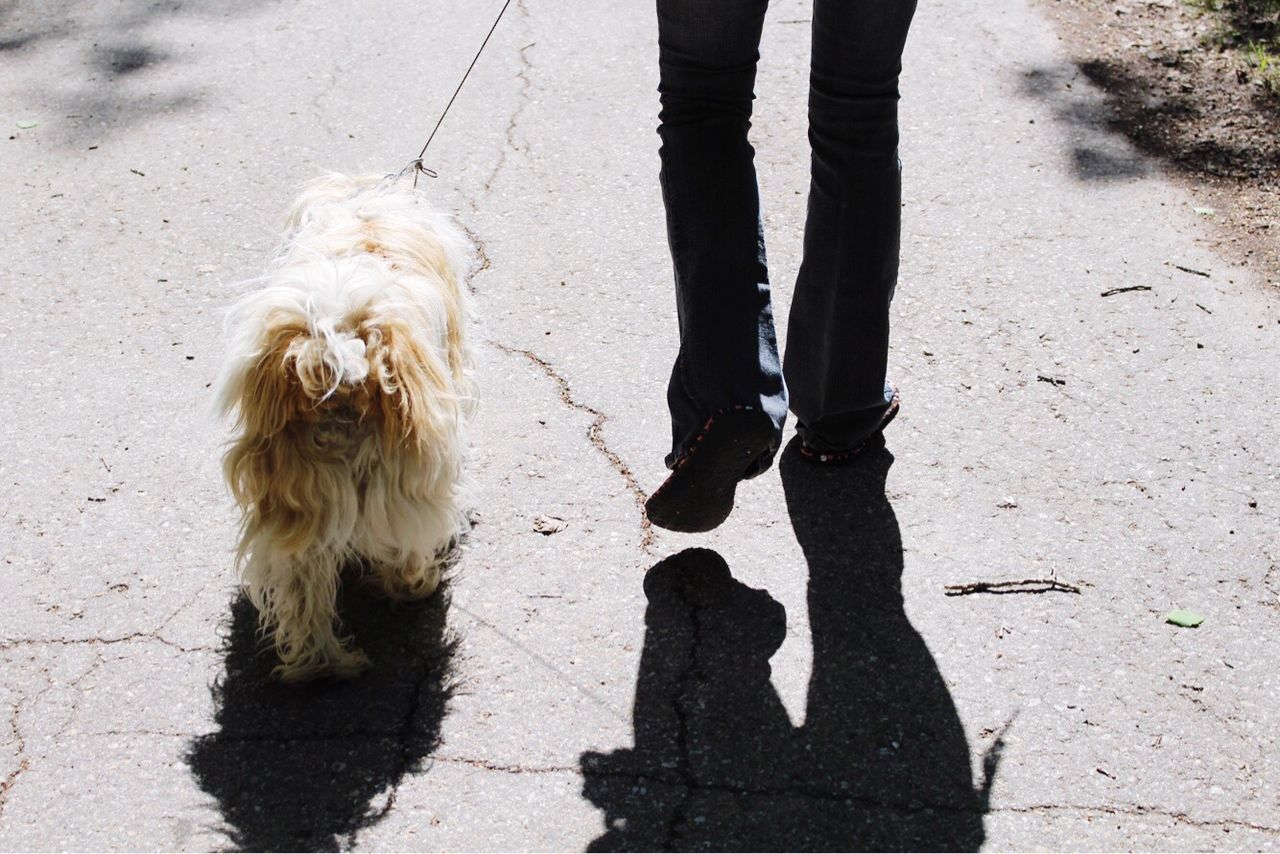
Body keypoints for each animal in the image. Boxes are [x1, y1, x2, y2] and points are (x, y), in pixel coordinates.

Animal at [215, 171, 476, 681]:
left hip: (298, 498)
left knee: (301, 583)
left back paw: (322, 666)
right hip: (402, 483)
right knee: (406, 539)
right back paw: (413, 584)